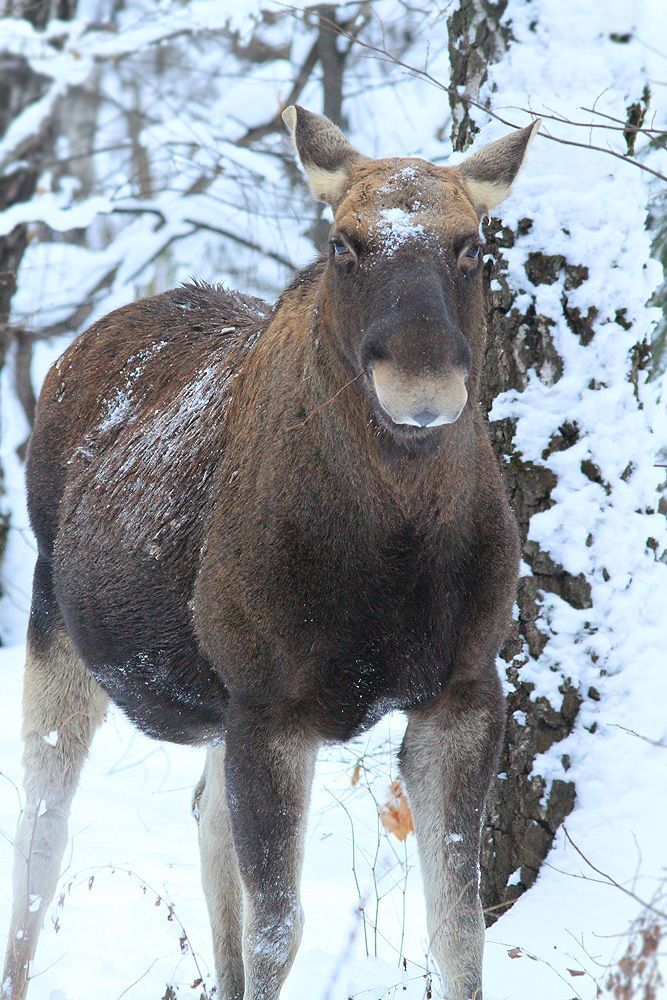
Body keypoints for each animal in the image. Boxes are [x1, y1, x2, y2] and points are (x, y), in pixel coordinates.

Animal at [2, 105, 539, 1000]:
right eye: (342, 243)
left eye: (473, 246)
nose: (422, 387)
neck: (396, 549)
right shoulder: (272, 702)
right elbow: (277, 933)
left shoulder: (464, 689)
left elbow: (460, 933)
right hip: (58, 625)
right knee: (42, 833)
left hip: (218, 702)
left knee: (203, 817)